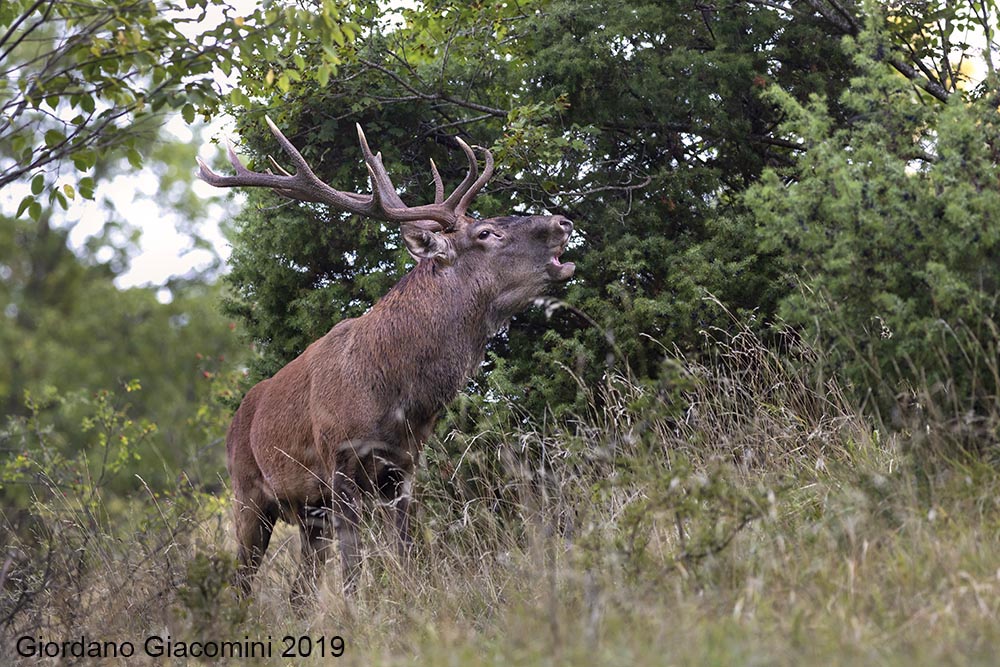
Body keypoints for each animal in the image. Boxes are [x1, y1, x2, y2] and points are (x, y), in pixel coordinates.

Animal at [197, 118, 575, 603]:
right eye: (486, 233)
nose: (563, 221)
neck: (397, 395)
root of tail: (237, 417)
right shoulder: (337, 462)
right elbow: (353, 569)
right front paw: (357, 612)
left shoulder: (404, 466)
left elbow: (407, 551)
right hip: (247, 495)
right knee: (243, 580)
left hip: (307, 514)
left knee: (300, 589)